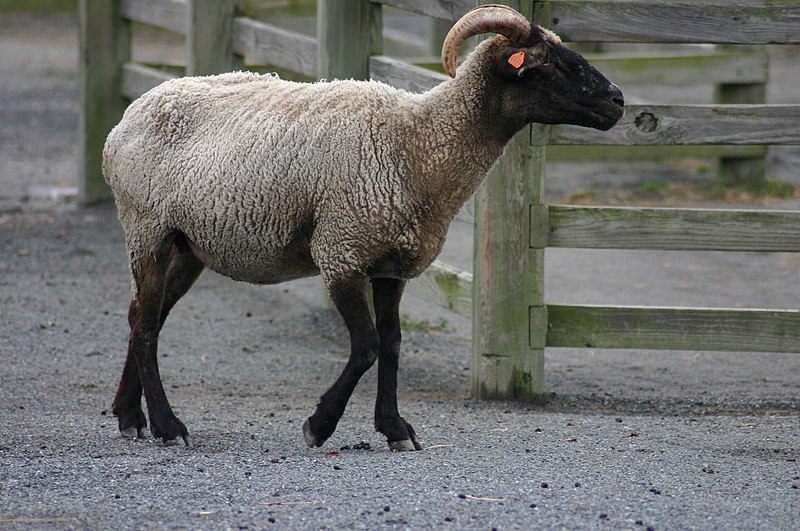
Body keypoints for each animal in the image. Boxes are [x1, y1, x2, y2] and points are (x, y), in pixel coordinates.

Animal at [101, 5, 624, 454]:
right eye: (549, 62)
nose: (617, 101)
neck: (418, 141)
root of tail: (128, 115)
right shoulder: (342, 252)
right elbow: (367, 346)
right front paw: (319, 425)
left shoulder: (393, 263)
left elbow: (392, 344)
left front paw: (395, 429)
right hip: (146, 229)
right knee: (146, 326)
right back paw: (167, 426)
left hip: (188, 245)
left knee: (141, 315)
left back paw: (130, 417)